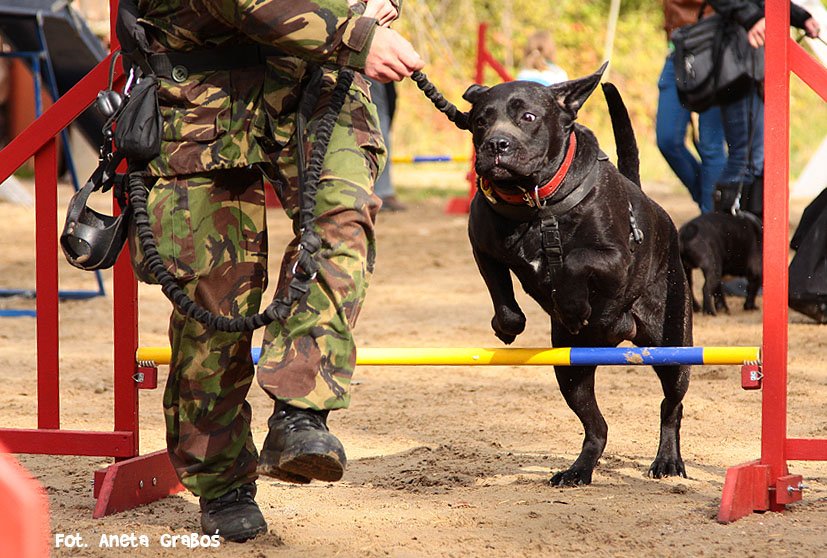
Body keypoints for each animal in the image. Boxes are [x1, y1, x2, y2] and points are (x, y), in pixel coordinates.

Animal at [466, 63, 692, 488]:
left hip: (673, 347)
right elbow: (500, 289)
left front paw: (572, 307)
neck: (536, 202)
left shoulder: (615, 260)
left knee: (671, 406)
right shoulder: (481, 243)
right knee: (596, 428)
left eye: (528, 117)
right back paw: (578, 470)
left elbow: (574, 262)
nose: (496, 145)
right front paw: (508, 326)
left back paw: (667, 460)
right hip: (570, 368)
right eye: (479, 121)